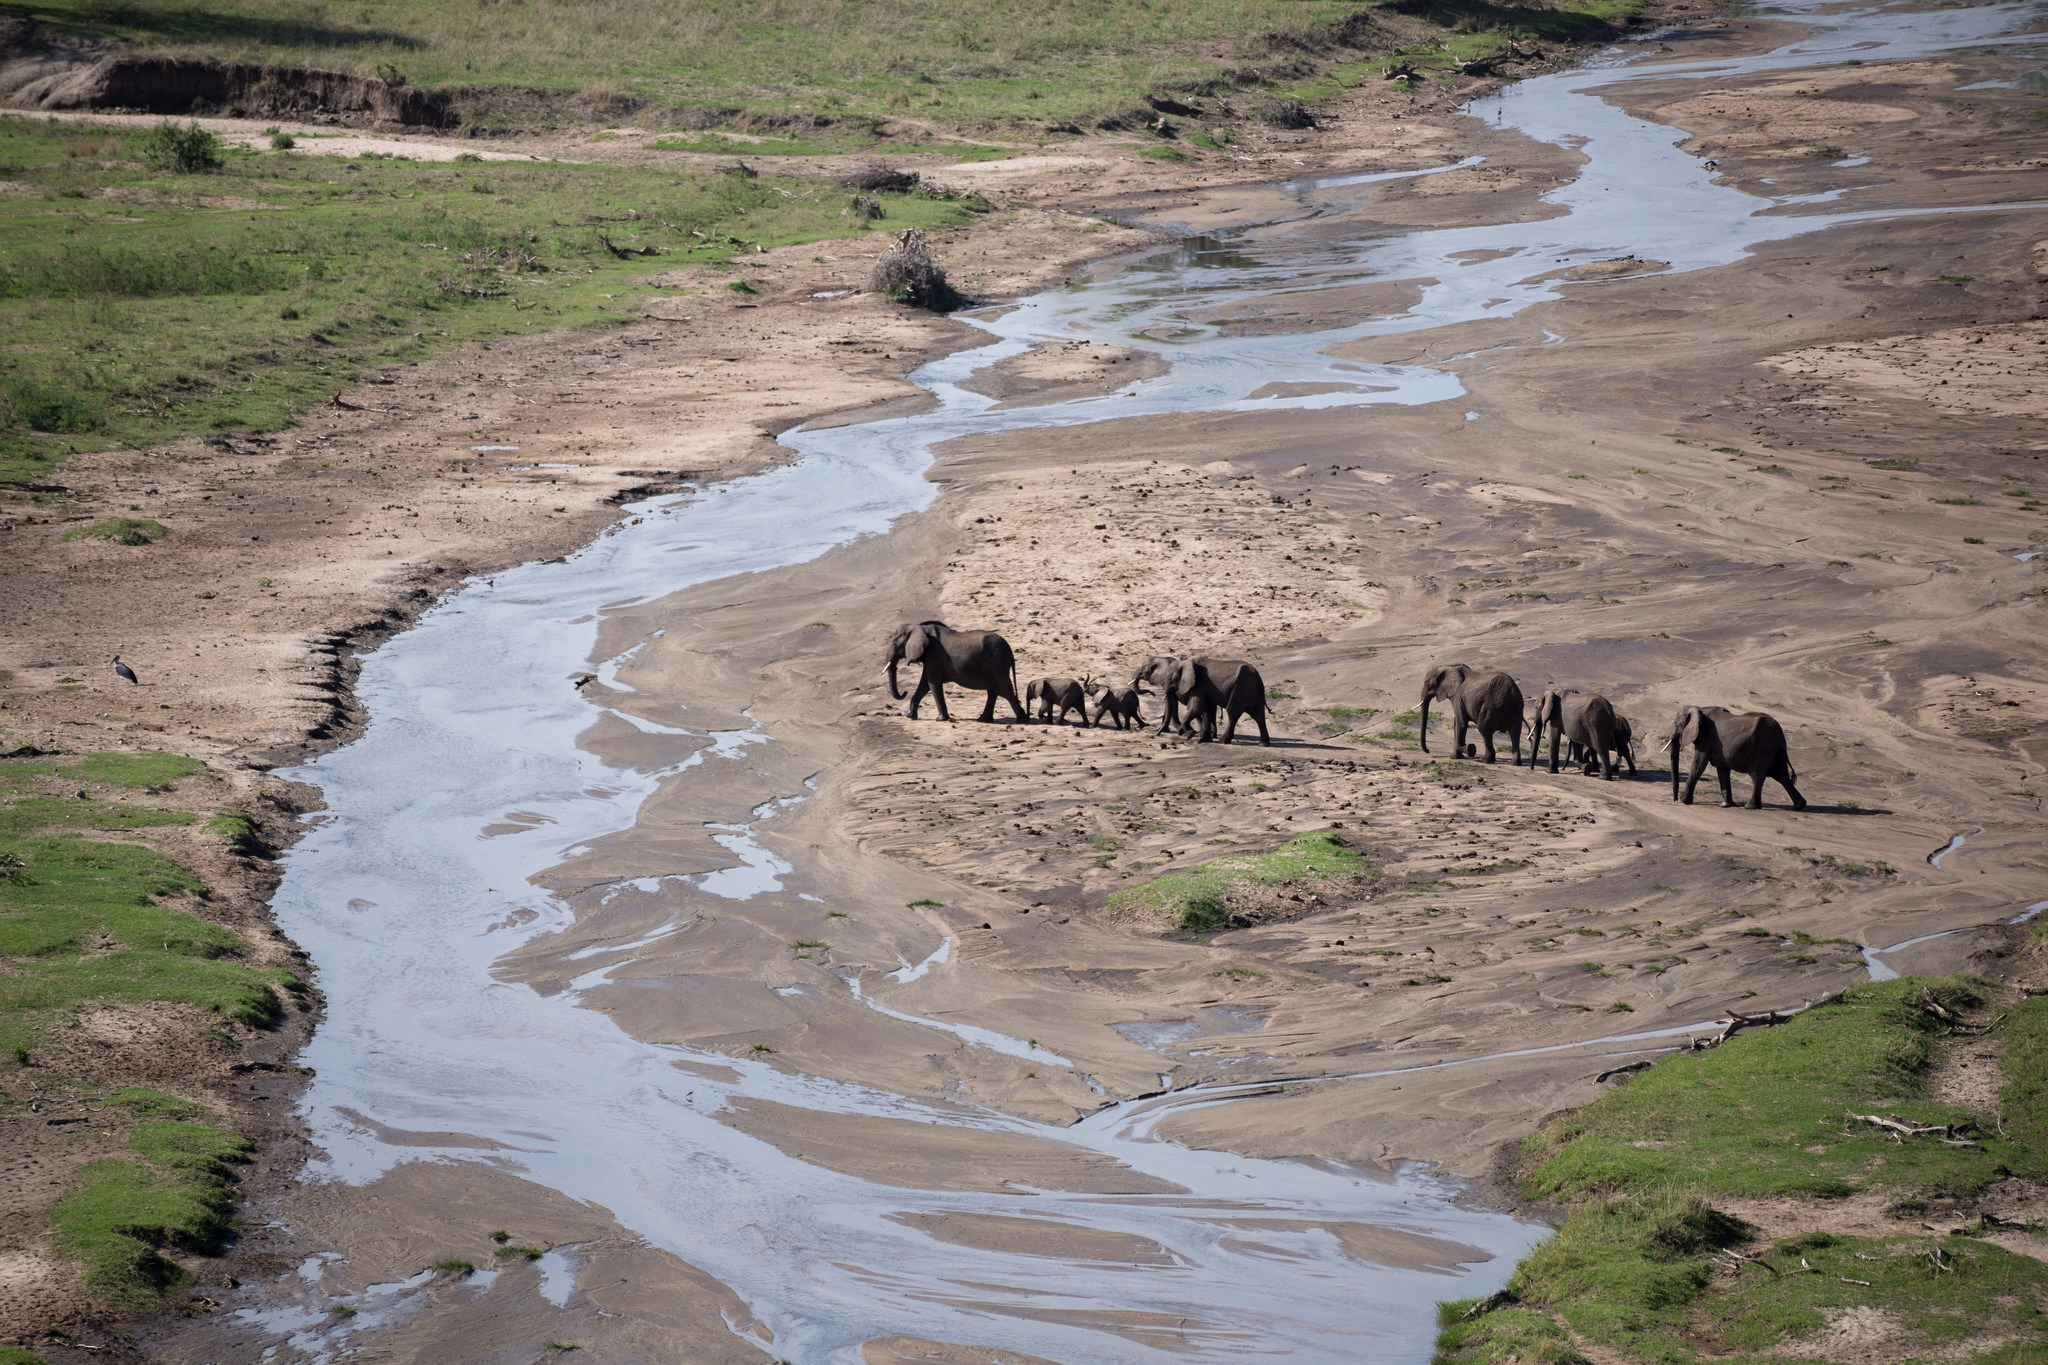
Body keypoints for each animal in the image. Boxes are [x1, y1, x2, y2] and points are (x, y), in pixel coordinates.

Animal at [888, 622, 1032, 724]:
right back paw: (984, 720)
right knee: (994, 691)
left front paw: (940, 719)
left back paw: (1022, 720)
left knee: (1004, 690)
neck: (920, 627)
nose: (904, 692)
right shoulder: (930, 658)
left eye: (894, 644)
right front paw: (909, 716)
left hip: (997, 664)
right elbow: (925, 684)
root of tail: (1009, 650)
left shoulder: (934, 656)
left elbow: (932, 683)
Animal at [1662, 703, 1810, 810]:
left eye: (1675, 724)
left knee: (1757, 776)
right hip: (1775, 751)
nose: (1674, 799)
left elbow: (1698, 766)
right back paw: (1799, 806)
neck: (1699, 708)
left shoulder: (1705, 739)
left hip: (1762, 749)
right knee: (1782, 776)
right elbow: (1722, 770)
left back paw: (1750, 807)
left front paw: (1684, 801)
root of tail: (1780, 735)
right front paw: (1726, 805)